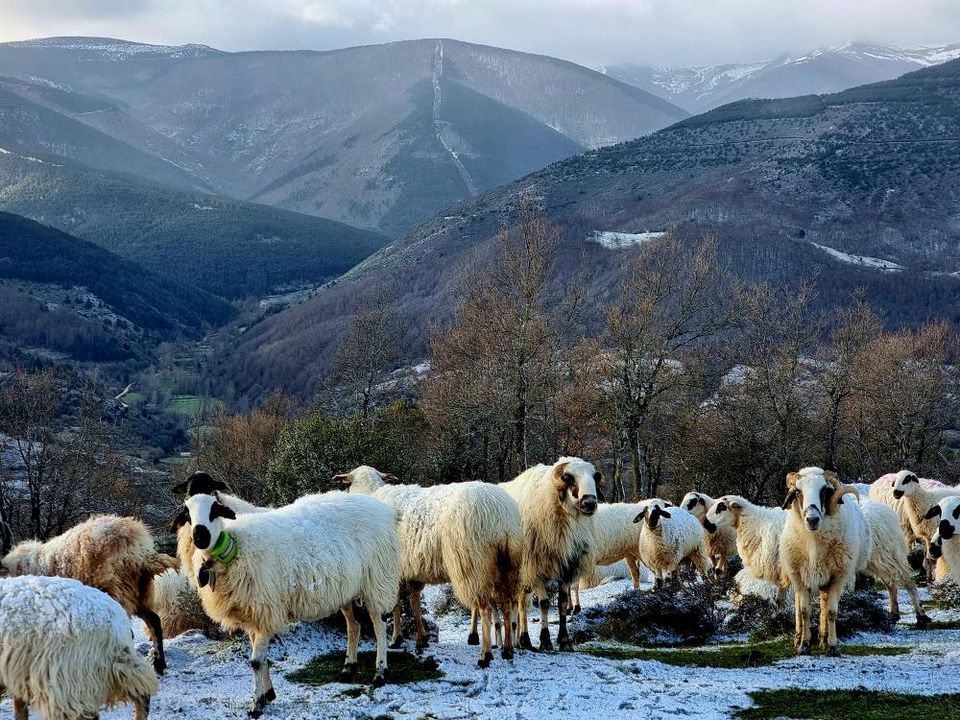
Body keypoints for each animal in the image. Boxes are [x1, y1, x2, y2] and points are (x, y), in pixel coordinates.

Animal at [1, 515, 178, 674]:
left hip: (118, 592)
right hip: (140, 594)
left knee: (130, 631)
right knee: (154, 621)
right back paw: (159, 663)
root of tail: (140, 553)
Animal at [180, 490, 400, 715]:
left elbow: (256, 662)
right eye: (187, 514)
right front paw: (268, 695)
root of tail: (382, 508)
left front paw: (256, 704)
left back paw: (380, 673)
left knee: (378, 625)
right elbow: (262, 659)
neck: (235, 548)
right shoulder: (252, 615)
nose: (200, 537)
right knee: (354, 625)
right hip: (346, 588)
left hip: (377, 579)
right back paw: (348, 668)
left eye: (215, 510)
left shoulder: (265, 612)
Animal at [335, 465, 522, 667]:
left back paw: (485, 654)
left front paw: (396, 639)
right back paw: (507, 649)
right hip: (508, 566)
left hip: (473, 564)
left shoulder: (393, 570)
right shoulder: (413, 572)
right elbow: (414, 602)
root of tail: (500, 514)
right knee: (507, 604)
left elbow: (397, 604)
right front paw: (421, 638)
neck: (371, 493)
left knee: (484, 607)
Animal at [499, 456, 599, 652]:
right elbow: (544, 603)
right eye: (568, 477)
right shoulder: (534, 568)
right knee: (521, 603)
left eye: (594, 477)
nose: (590, 503)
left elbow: (562, 603)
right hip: (521, 570)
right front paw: (545, 640)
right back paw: (524, 640)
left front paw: (565, 641)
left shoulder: (567, 568)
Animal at [780, 467, 868, 656]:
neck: (813, 545)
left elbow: (831, 612)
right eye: (797, 492)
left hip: (826, 577)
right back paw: (797, 638)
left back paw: (823, 639)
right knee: (798, 604)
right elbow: (804, 611)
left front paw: (833, 647)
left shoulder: (837, 577)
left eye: (825, 491)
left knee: (824, 603)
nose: (812, 519)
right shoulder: (799, 577)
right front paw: (804, 645)